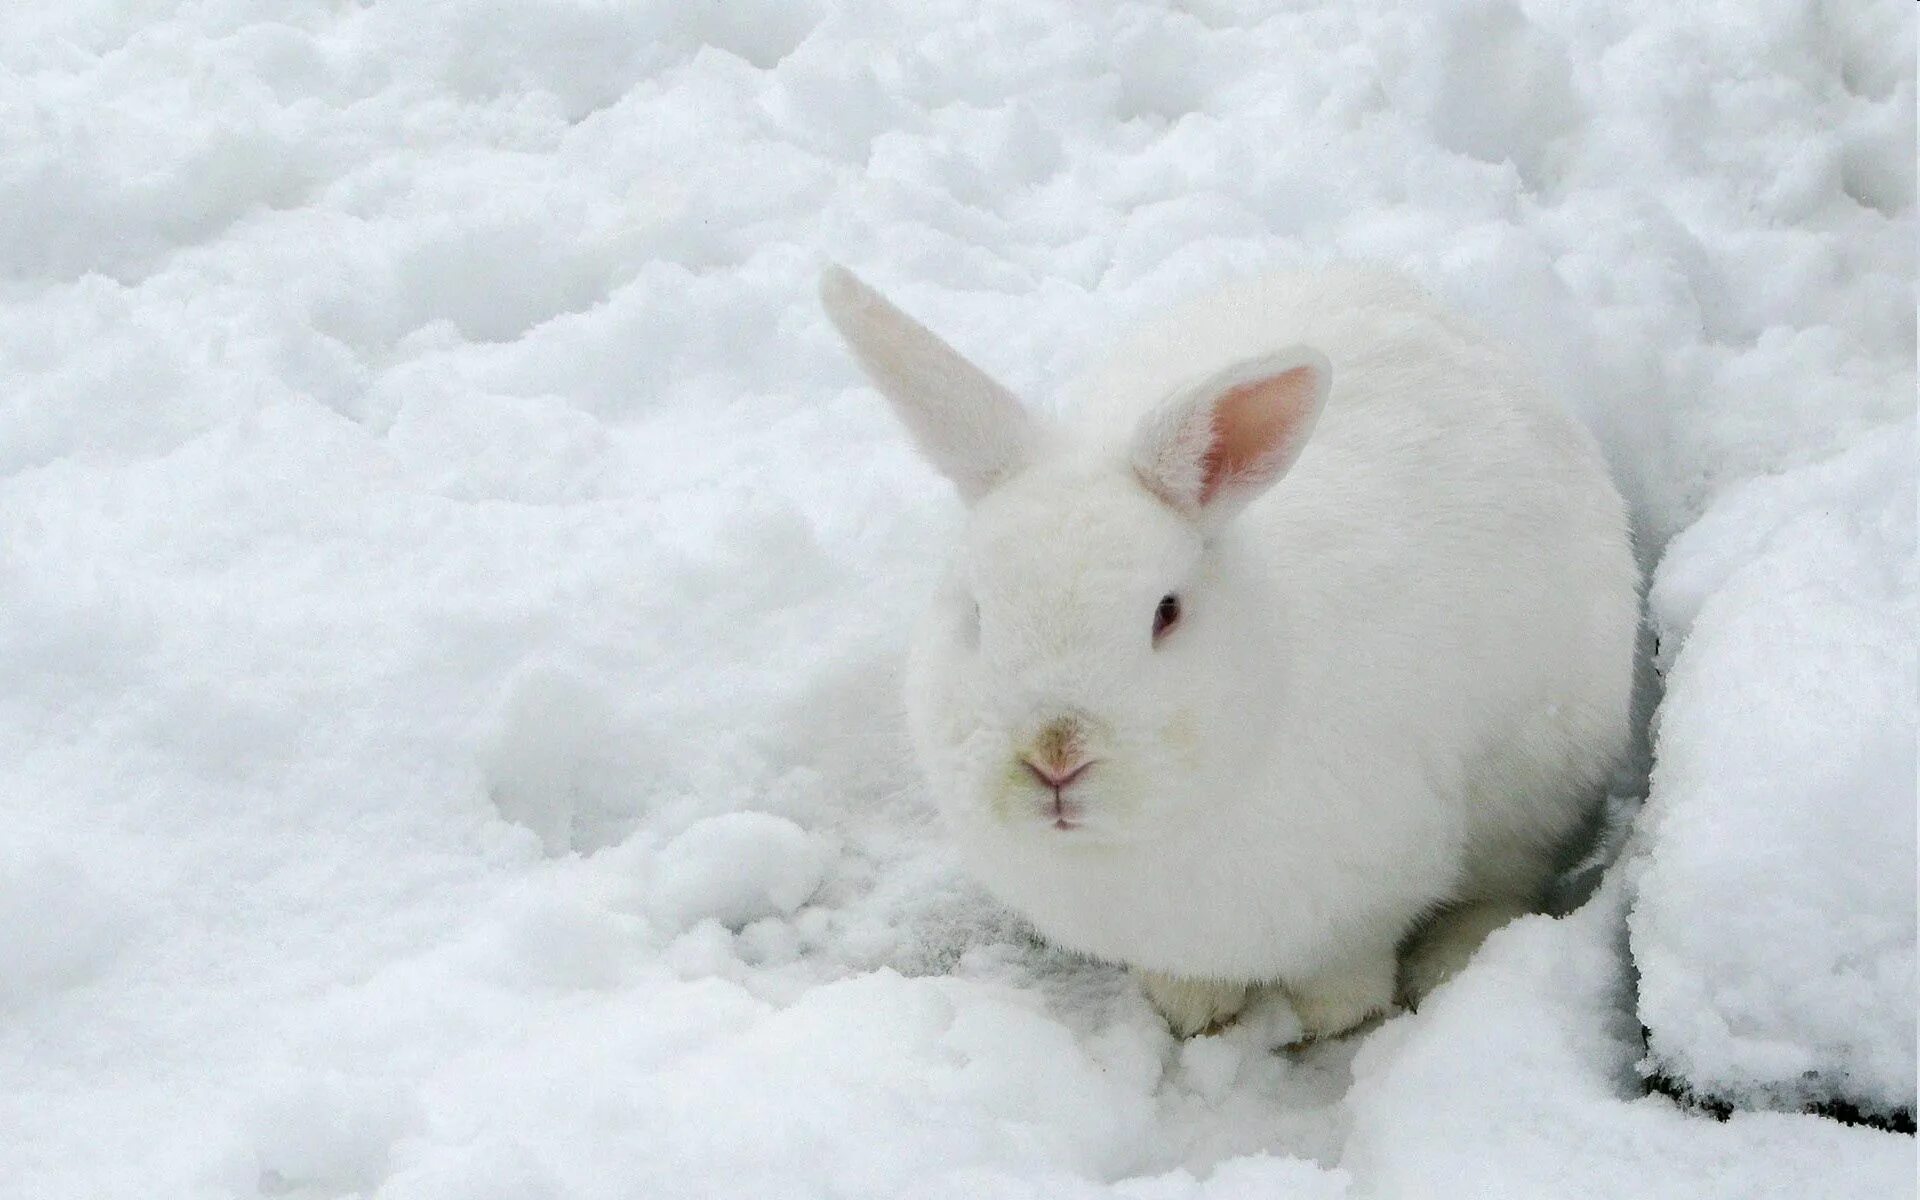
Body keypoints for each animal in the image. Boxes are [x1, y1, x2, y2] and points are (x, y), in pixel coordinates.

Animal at [817, 261, 1643, 1036]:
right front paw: (1190, 1010)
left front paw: (1334, 1015)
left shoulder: (1375, 885)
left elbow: (1352, 961)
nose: (1055, 756)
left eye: (1166, 613)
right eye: (976, 611)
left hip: (1541, 778)